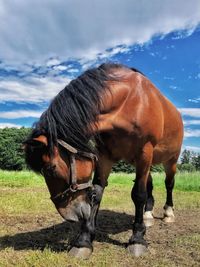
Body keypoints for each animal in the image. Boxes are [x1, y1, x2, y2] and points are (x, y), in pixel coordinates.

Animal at [24, 62, 184, 260]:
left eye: (50, 169)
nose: (69, 215)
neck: (129, 102)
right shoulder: (105, 155)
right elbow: (97, 193)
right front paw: (84, 240)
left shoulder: (144, 152)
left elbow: (138, 194)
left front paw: (137, 239)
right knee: (150, 184)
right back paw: (147, 215)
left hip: (170, 160)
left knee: (169, 184)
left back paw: (168, 213)